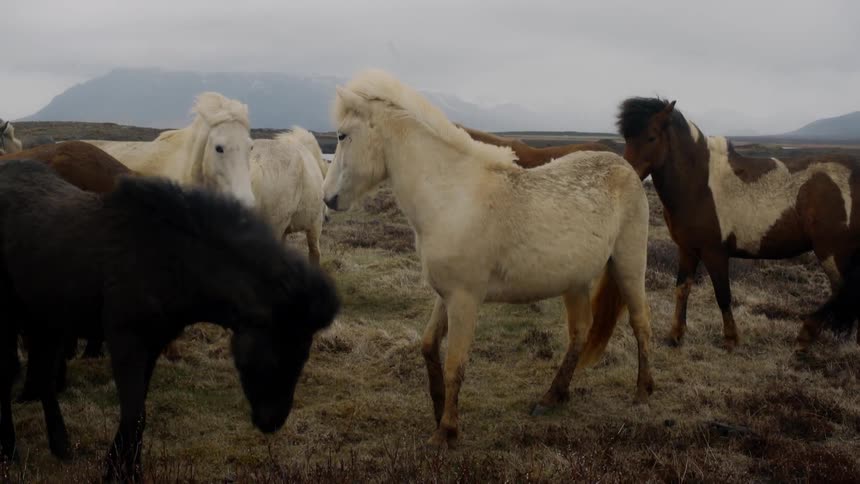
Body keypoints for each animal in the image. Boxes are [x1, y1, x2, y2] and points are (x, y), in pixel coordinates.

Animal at [0, 160, 339, 481]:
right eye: (275, 349)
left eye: (303, 354)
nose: (272, 421)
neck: (168, 260)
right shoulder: (126, 343)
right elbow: (134, 415)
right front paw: (116, 472)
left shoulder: (151, 345)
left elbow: (138, 416)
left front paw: (127, 471)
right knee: (11, 374)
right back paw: (10, 450)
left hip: (46, 322)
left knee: (44, 377)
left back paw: (60, 445)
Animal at [616, 97, 860, 350]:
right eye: (626, 137)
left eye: (651, 137)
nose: (627, 177)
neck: (699, 183)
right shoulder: (687, 249)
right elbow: (682, 289)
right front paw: (675, 335)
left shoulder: (714, 253)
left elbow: (723, 295)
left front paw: (731, 338)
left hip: (832, 253)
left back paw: (807, 333)